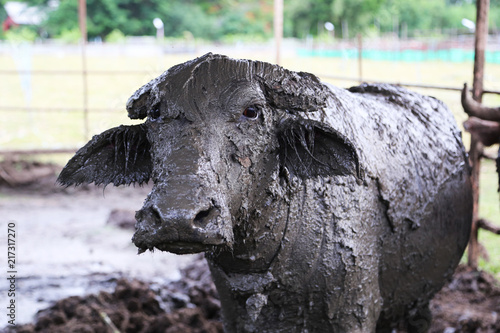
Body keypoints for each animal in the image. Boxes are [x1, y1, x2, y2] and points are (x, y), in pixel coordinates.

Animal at [59, 53, 472, 330]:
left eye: (252, 111)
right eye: (157, 114)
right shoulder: (232, 313)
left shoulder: (353, 312)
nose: (177, 217)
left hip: (421, 299)